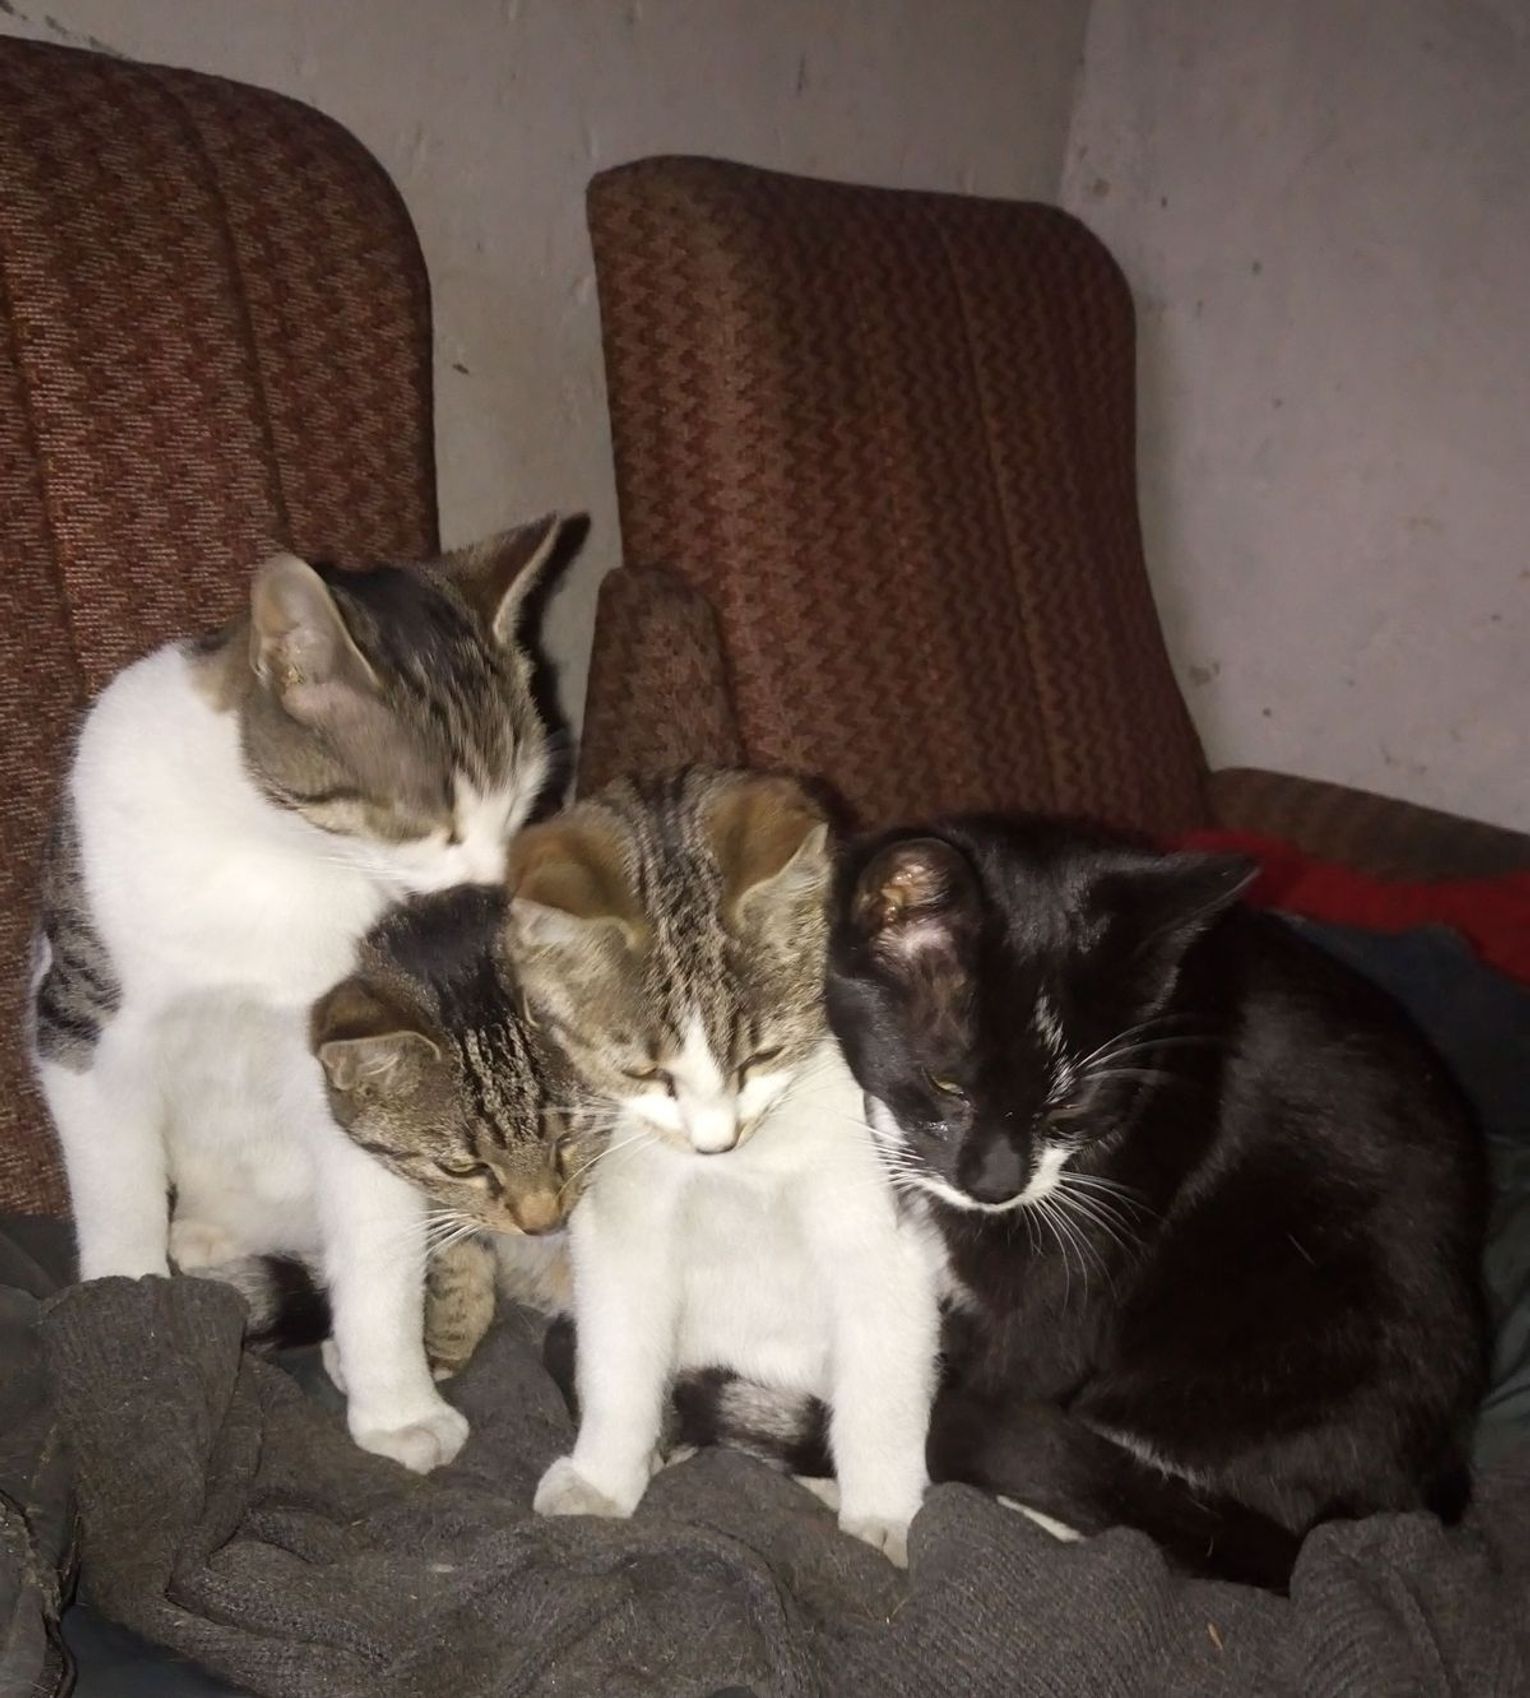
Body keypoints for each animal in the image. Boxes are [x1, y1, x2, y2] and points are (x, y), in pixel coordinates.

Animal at [30, 514, 581, 1472]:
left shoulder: (345, 1068)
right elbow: (117, 1202)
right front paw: (132, 1341)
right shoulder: (83, 1024)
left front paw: (397, 1408)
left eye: (521, 804)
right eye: (433, 821)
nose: (487, 901)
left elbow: (380, 1253)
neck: (272, 852)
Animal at [503, 767, 945, 1564]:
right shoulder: (620, 1229)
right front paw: (603, 1478)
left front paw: (885, 1519)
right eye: (645, 1072)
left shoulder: (882, 1239)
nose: (716, 1143)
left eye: (762, 1053)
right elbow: (616, 1362)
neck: (739, 1174)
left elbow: (883, 1394)